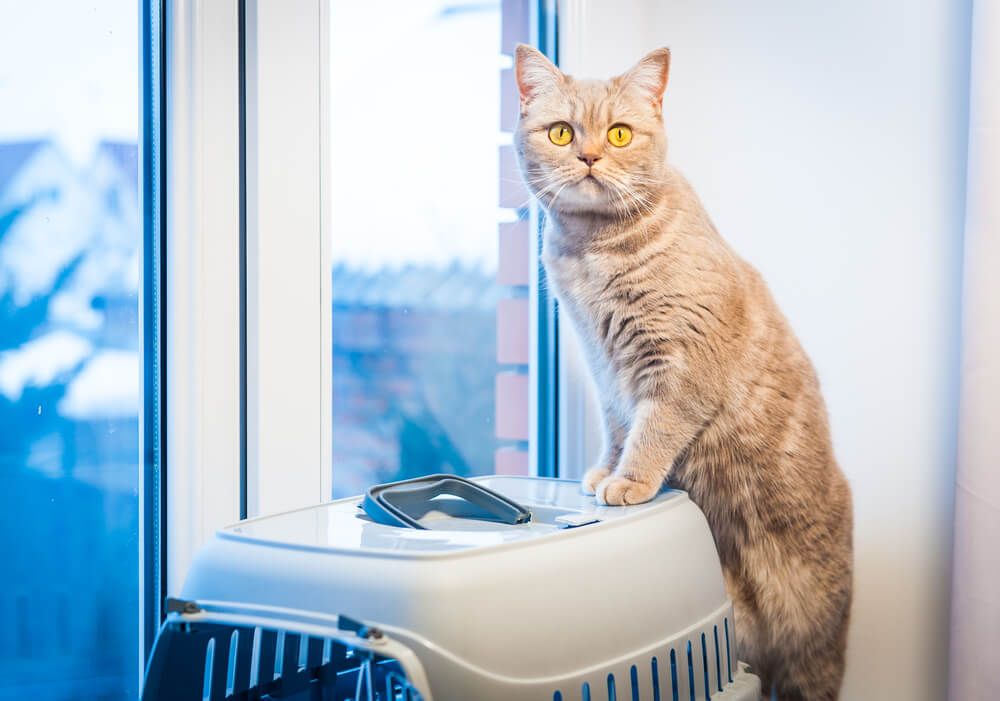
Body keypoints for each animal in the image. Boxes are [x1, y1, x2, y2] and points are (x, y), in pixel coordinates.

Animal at [516, 45, 852, 700]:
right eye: (562, 132)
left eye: (620, 133)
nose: (589, 156)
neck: (591, 252)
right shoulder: (604, 367)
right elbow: (619, 427)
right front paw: (605, 471)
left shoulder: (678, 365)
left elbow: (654, 430)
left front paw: (629, 480)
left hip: (814, 648)